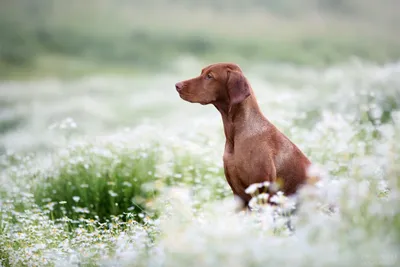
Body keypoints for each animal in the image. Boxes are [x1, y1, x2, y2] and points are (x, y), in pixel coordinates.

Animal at [177, 63, 314, 207]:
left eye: (210, 76)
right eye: (202, 72)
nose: (177, 85)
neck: (236, 136)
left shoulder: (262, 193)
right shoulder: (238, 196)